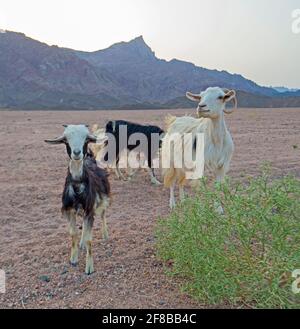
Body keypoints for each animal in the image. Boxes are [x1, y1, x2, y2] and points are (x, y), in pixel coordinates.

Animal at [44, 124, 110, 272]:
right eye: (66, 140)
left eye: (86, 139)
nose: (77, 153)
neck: (77, 184)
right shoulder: (69, 210)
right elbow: (73, 233)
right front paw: (73, 259)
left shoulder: (90, 209)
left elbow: (90, 238)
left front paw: (89, 267)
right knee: (84, 225)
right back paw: (82, 244)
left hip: (102, 200)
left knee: (103, 215)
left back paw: (105, 235)